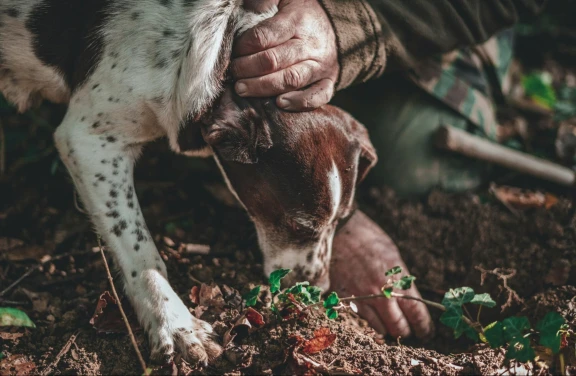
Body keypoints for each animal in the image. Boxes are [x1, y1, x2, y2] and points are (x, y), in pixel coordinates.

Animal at [0, 0, 376, 364]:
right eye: (299, 227)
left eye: (341, 221)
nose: (319, 289)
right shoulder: (88, 140)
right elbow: (140, 250)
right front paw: (175, 324)